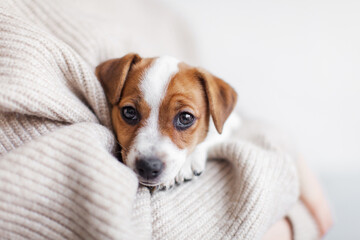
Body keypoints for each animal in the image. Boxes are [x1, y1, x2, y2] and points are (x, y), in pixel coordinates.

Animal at [97, 53, 240, 190]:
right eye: (129, 112)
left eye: (185, 118)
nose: (148, 166)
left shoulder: (232, 123)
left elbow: (211, 137)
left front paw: (188, 162)